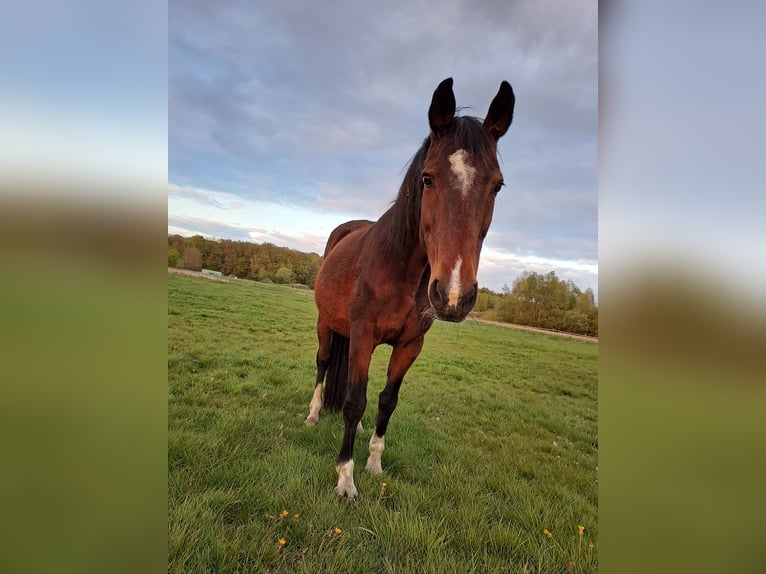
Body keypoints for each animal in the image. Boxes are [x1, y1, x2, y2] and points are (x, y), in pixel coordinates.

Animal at [304, 76, 516, 500]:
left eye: (497, 186)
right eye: (427, 178)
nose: (453, 294)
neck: (401, 268)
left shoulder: (409, 345)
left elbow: (387, 400)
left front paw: (374, 463)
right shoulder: (362, 335)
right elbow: (354, 400)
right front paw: (345, 477)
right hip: (326, 325)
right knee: (323, 364)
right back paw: (314, 414)